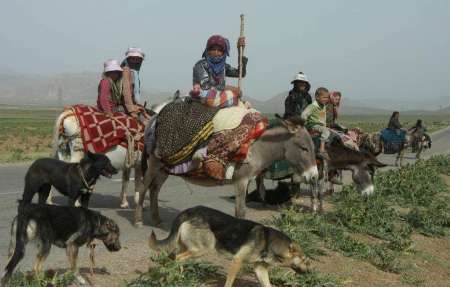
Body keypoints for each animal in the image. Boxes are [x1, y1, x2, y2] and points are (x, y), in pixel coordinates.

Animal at [148, 207, 310, 287]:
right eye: (304, 260)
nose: (309, 273)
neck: (268, 241)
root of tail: (188, 212)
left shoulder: (260, 269)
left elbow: (267, 284)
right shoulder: (237, 261)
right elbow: (229, 282)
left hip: (187, 247)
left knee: (173, 258)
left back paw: (176, 276)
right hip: (202, 249)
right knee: (177, 258)